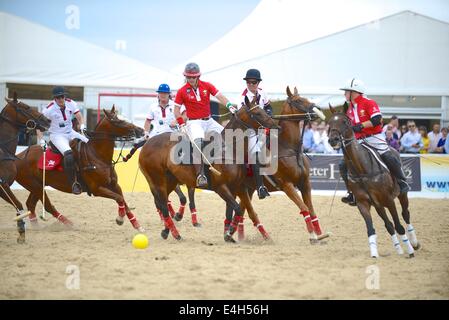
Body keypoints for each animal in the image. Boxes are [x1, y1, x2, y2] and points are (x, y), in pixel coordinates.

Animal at [0, 92, 50, 242]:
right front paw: (21, 230)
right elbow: (19, 205)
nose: (48, 120)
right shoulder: (3, 185)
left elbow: (18, 205)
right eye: (26, 107)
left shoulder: (3, 187)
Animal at [14, 107, 145, 232]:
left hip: (38, 185)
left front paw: (137, 225)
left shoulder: (114, 185)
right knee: (47, 206)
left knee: (30, 204)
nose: (141, 130)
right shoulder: (96, 189)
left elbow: (122, 200)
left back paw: (36, 226)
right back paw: (69, 224)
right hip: (35, 186)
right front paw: (120, 219)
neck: (97, 155)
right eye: (119, 121)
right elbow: (119, 198)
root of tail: (18, 156)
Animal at [138, 96, 278, 241]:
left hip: (170, 180)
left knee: (163, 202)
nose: (276, 126)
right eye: (257, 113)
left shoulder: (237, 187)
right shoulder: (221, 187)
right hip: (157, 179)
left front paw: (229, 234)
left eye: (263, 110)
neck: (230, 150)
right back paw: (176, 233)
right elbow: (238, 209)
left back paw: (166, 231)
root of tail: (147, 143)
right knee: (162, 204)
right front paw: (229, 233)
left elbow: (234, 212)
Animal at [229, 87, 328, 242]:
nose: (318, 110)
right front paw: (313, 236)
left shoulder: (305, 184)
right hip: (242, 187)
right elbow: (304, 208)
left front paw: (320, 234)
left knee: (242, 211)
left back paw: (236, 233)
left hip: (248, 188)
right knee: (246, 211)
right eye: (298, 101)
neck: (289, 149)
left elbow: (312, 210)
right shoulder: (287, 185)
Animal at [328, 107, 418, 258]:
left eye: (345, 122)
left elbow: (399, 226)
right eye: (329, 122)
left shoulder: (389, 200)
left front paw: (410, 250)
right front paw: (374, 253)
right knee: (388, 225)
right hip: (378, 204)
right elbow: (371, 229)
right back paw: (399, 249)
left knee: (405, 214)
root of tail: (394, 149)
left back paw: (414, 244)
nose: (333, 140)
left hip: (399, 195)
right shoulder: (363, 203)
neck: (361, 169)